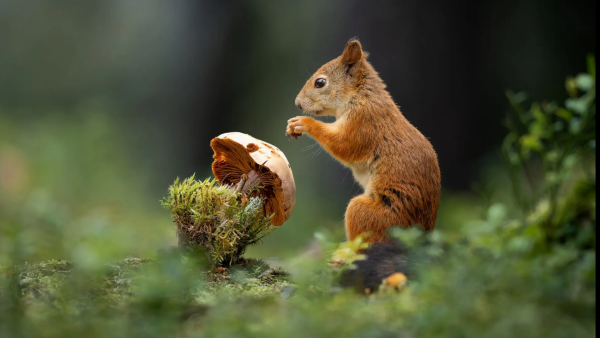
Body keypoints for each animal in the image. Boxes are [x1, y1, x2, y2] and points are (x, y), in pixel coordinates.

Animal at [286, 39, 440, 246]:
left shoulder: (364, 124)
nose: (298, 103)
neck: (361, 96)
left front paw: (304, 123)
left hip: (368, 214)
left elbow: (345, 145)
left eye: (320, 82)